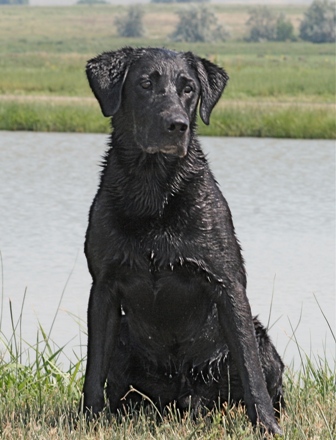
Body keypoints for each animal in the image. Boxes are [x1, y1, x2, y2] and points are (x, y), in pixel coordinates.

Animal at [82, 47, 284, 434]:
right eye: (145, 84)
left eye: (188, 88)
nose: (177, 125)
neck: (153, 193)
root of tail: (187, 399)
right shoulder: (103, 288)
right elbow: (93, 367)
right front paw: (87, 419)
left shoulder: (227, 284)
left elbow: (250, 369)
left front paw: (266, 426)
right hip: (125, 338)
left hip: (263, 341)